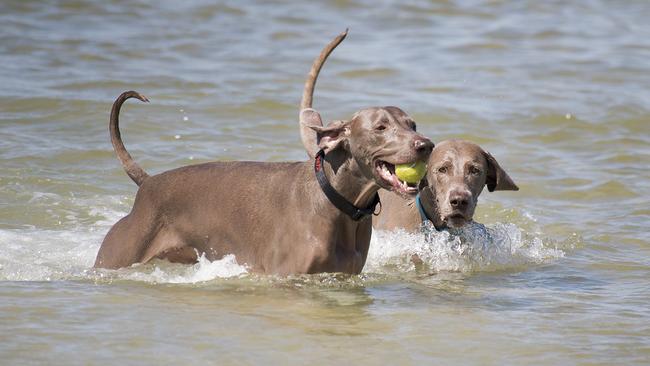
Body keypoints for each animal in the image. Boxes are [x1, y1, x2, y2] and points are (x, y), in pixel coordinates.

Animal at [93, 30, 432, 274]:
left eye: (412, 124)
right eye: (381, 127)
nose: (425, 145)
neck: (337, 201)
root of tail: (148, 183)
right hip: (116, 256)